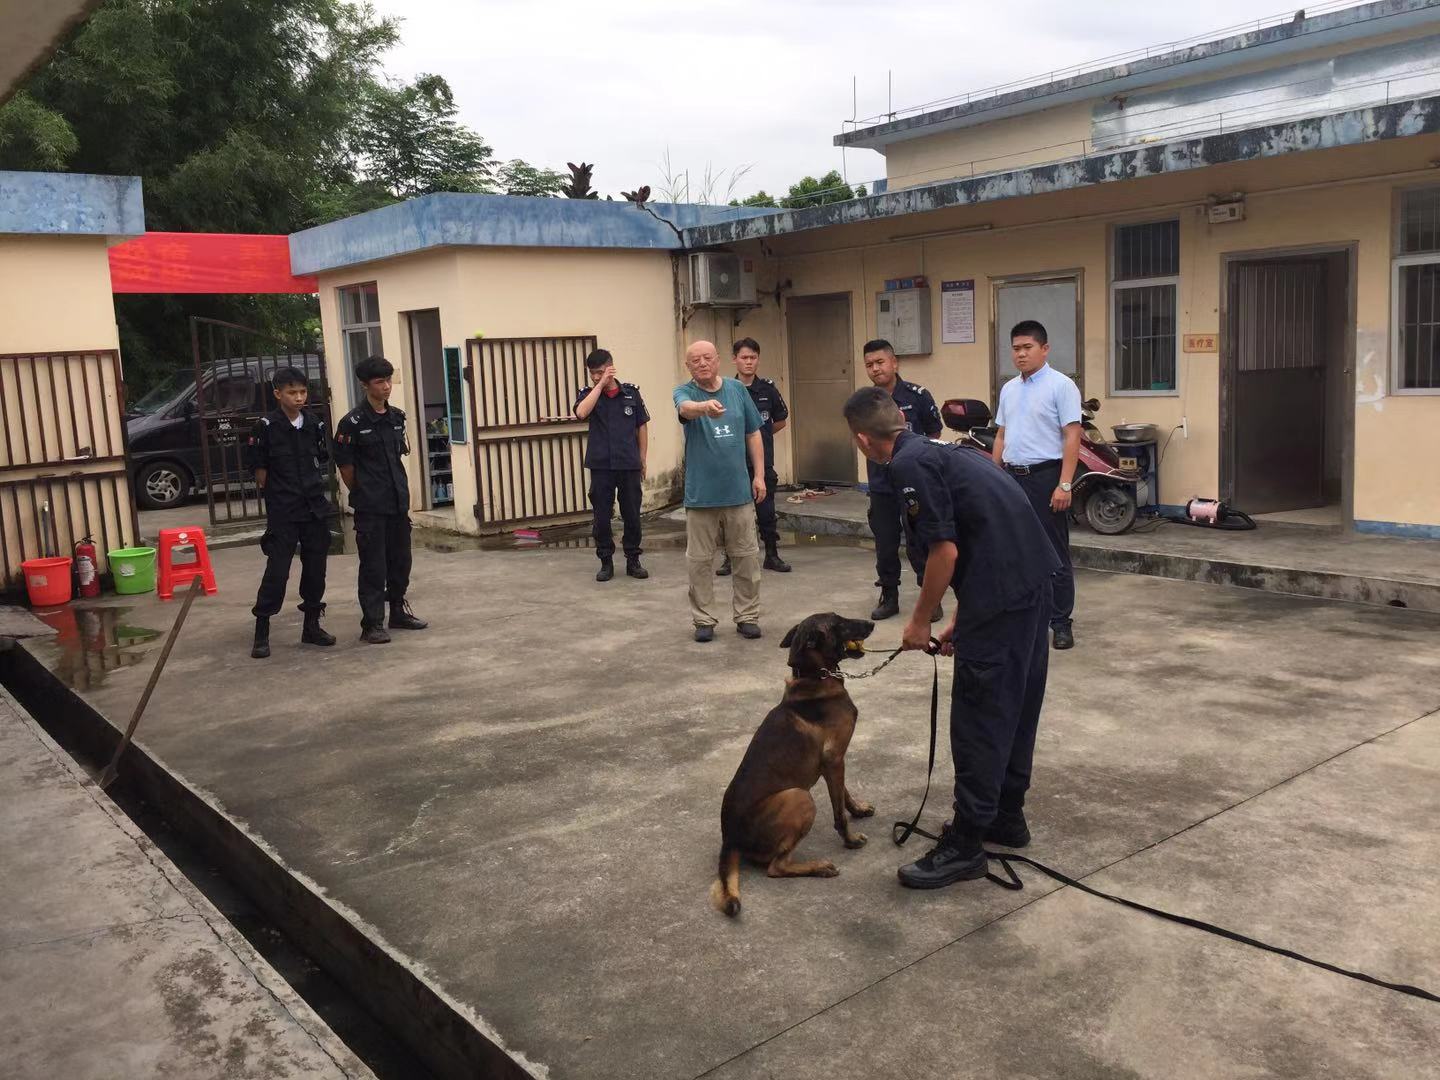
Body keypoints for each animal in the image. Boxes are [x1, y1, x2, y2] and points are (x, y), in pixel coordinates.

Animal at [711, 613, 875, 915]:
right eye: (839, 623)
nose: (871, 624)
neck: (813, 677)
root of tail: (730, 838)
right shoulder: (834, 760)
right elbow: (838, 813)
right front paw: (850, 840)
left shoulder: (832, 763)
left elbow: (844, 794)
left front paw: (858, 809)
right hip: (799, 797)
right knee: (776, 867)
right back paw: (819, 867)